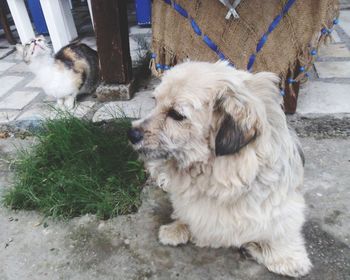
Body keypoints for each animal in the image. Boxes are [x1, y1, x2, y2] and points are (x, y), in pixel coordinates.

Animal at [128, 61, 312, 278]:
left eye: (176, 115)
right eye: (155, 102)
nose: (131, 133)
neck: (214, 175)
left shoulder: (282, 206)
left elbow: (280, 233)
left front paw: (286, 258)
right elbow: (186, 213)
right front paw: (179, 228)